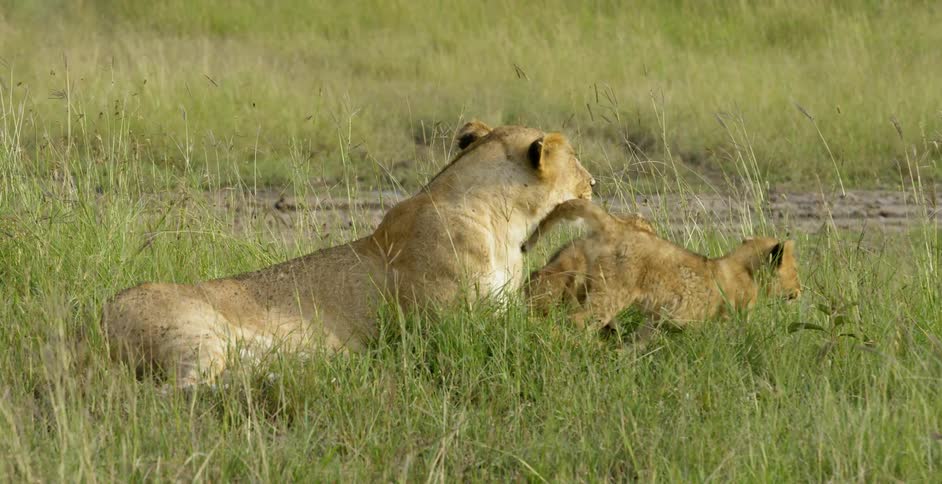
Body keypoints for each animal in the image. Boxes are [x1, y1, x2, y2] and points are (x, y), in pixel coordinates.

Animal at [103, 121, 596, 387]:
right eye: (577, 161)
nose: (595, 183)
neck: (504, 225)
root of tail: (97, 317)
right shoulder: (453, 329)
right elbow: (544, 337)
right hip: (198, 337)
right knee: (179, 393)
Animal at [524, 199, 801, 341]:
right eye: (795, 270)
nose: (800, 290)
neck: (743, 265)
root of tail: (615, 226)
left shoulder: (657, 318)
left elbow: (642, 338)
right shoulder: (734, 316)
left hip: (585, 285)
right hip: (611, 295)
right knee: (578, 320)